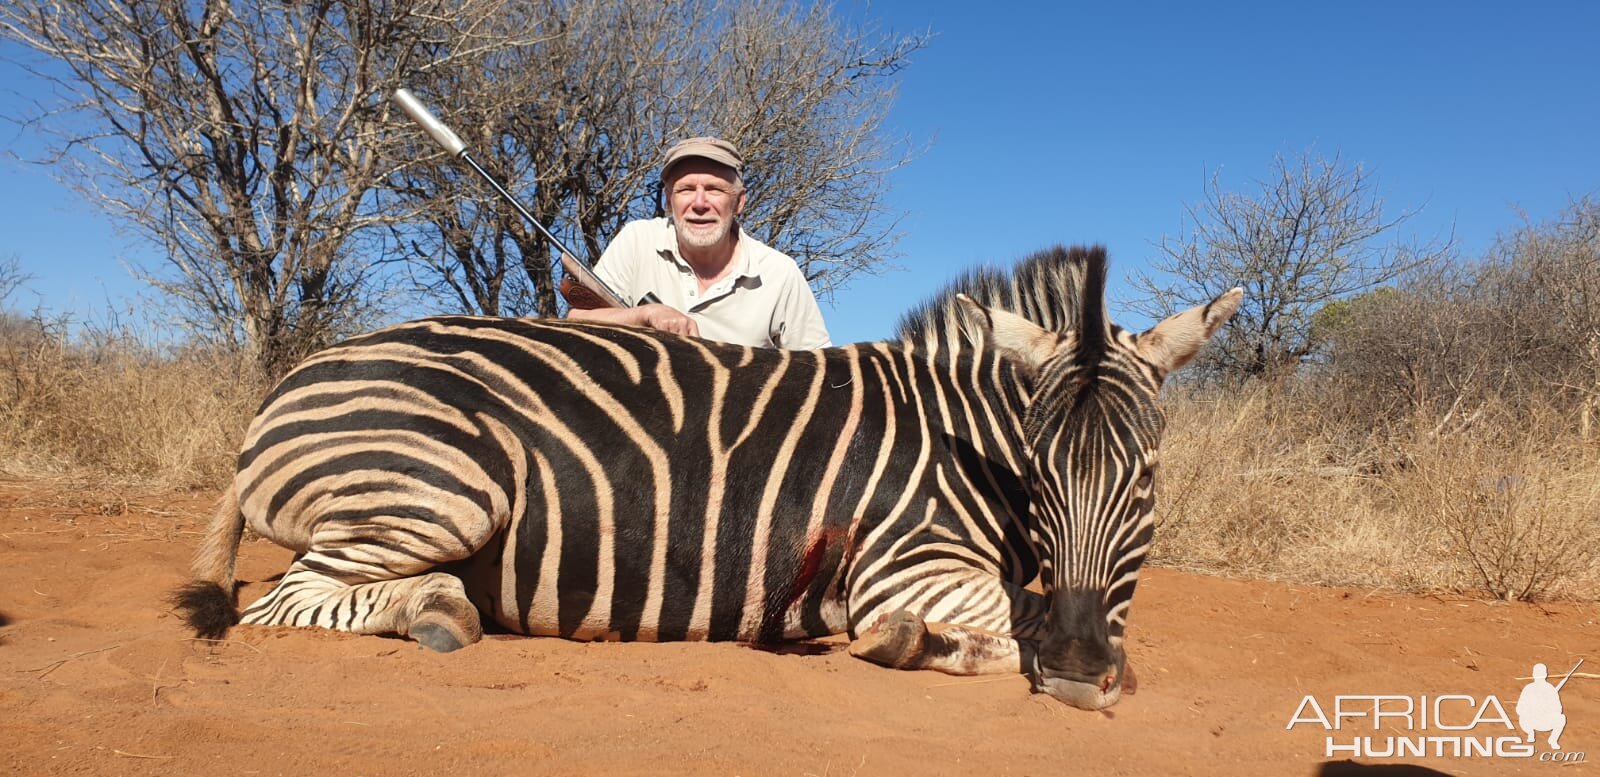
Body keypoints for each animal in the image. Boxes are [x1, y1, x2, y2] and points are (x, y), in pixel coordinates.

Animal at [181, 244, 1241, 709]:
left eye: (1145, 476)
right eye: (1041, 470)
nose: (1077, 673)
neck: (963, 441)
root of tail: (298, 376)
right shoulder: (907, 564)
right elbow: (994, 619)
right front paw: (902, 640)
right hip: (450, 487)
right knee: (282, 601)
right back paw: (437, 608)